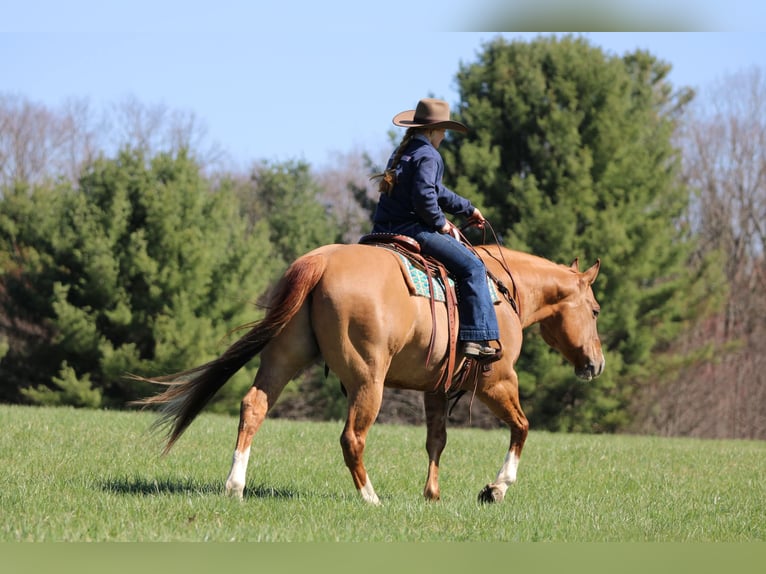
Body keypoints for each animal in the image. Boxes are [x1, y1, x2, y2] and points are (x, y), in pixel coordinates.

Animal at [135, 241, 604, 504]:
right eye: (596, 310)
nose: (596, 364)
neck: (503, 292)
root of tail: (320, 263)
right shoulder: (497, 380)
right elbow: (522, 428)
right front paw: (496, 488)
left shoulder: (435, 389)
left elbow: (437, 440)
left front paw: (432, 495)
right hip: (368, 381)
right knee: (351, 437)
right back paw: (370, 497)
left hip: (283, 359)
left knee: (253, 407)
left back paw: (235, 486)